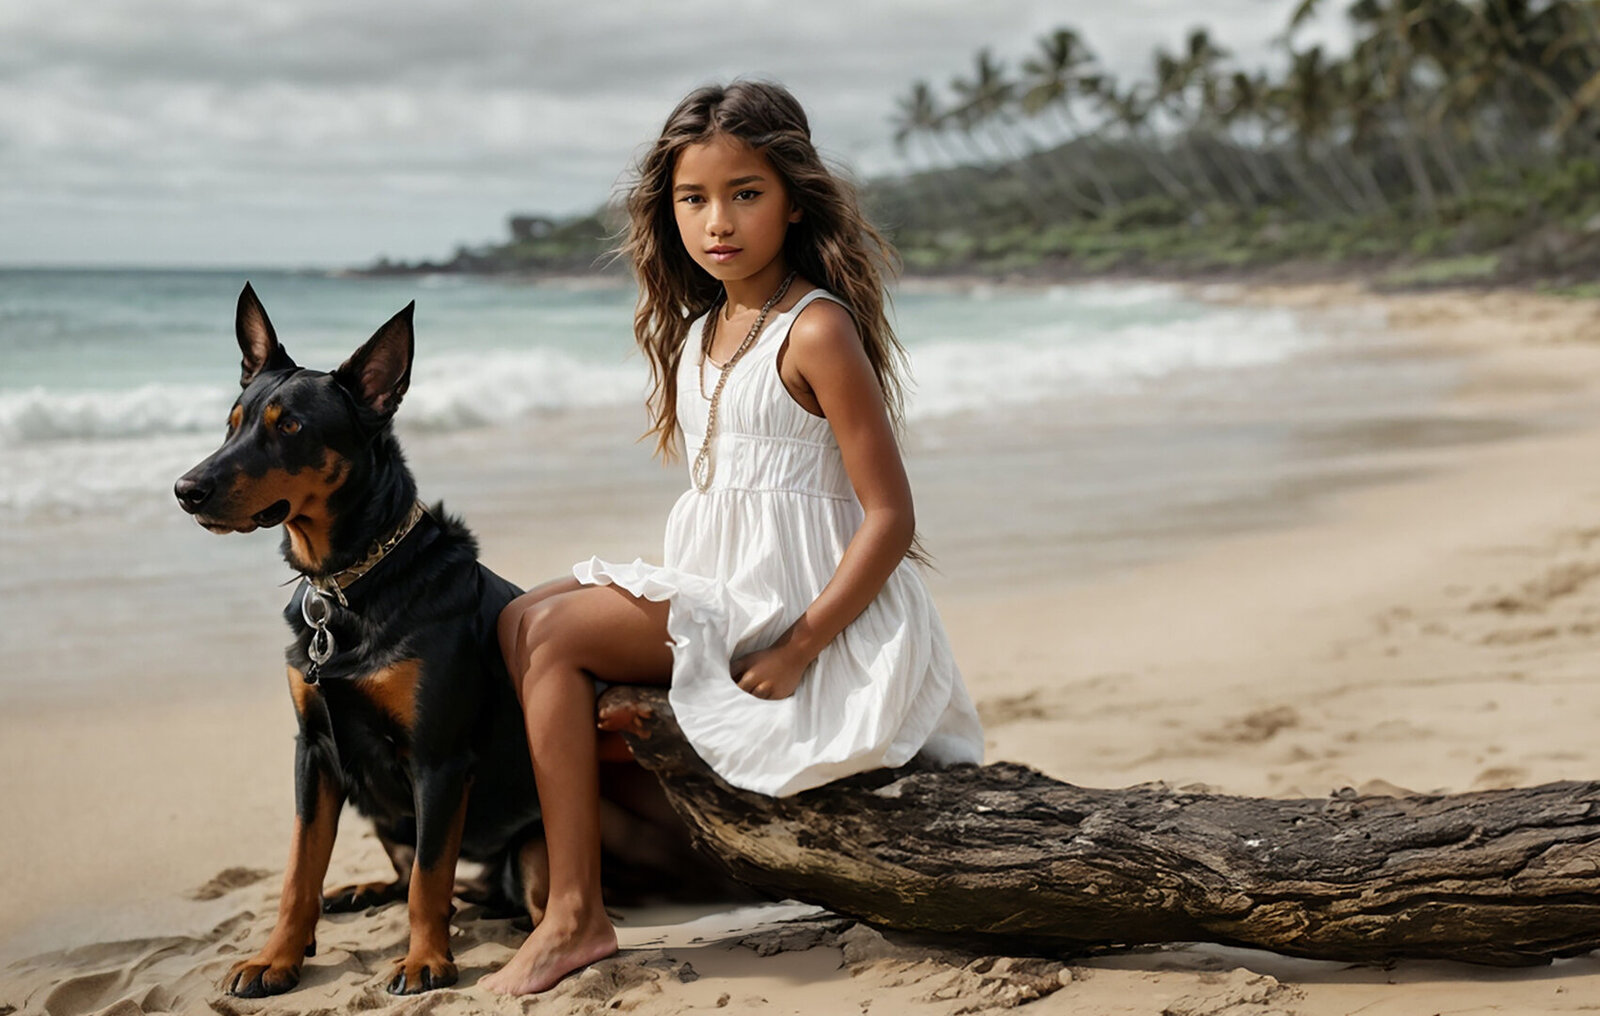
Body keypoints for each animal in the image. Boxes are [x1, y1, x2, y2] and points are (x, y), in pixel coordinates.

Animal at [172, 284, 540, 992]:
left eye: (290, 428)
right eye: (233, 421)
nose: (185, 490)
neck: (350, 581)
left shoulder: (438, 758)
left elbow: (430, 875)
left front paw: (425, 960)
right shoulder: (314, 749)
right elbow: (299, 870)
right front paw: (277, 957)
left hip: (532, 848)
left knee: (491, 889)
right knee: (415, 876)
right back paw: (359, 892)